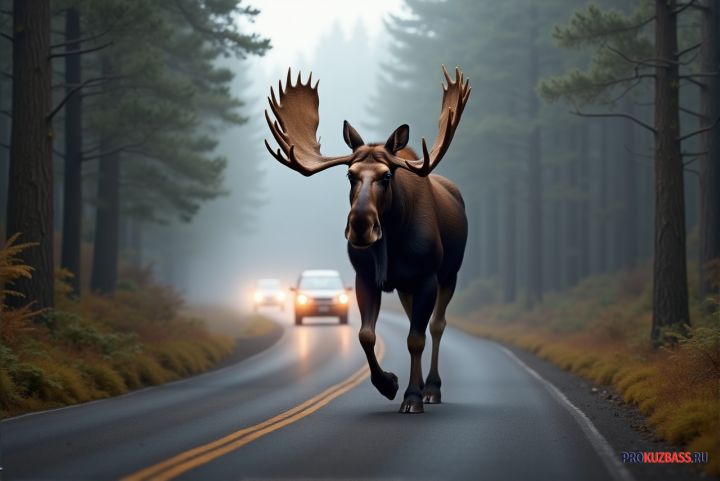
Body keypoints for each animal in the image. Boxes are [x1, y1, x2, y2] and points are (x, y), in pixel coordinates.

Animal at [264, 66, 470, 413]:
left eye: (387, 175)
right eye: (350, 174)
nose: (360, 225)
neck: (391, 245)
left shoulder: (427, 276)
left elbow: (416, 338)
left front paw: (412, 396)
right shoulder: (366, 278)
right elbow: (365, 335)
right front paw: (389, 384)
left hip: (449, 274)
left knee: (437, 325)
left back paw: (432, 387)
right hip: (405, 286)